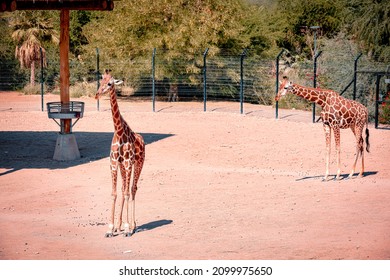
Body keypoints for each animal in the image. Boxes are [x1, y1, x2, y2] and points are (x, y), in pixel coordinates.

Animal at [95, 70, 145, 236]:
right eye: (101, 81)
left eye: (110, 83)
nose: (97, 94)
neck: (119, 131)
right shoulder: (113, 163)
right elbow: (115, 193)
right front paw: (111, 228)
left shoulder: (129, 163)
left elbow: (128, 192)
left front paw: (128, 228)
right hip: (123, 166)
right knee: (124, 189)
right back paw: (119, 225)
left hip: (139, 163)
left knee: (133, 189)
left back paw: (133, 225)